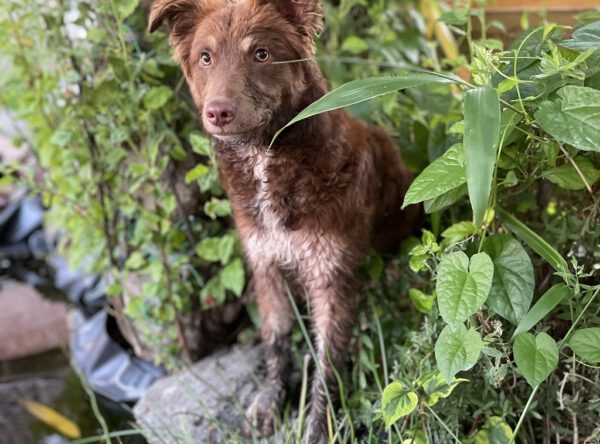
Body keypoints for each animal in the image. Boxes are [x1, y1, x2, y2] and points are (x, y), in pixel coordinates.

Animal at [148, 0, 420, 440]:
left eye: (261, 54)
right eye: (206, 58)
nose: (218, 113)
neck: (266, 158)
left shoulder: (331, 277)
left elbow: (328, 365)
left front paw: (319, 428)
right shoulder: (267, 266)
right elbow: (276, 343)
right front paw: (270, 403)